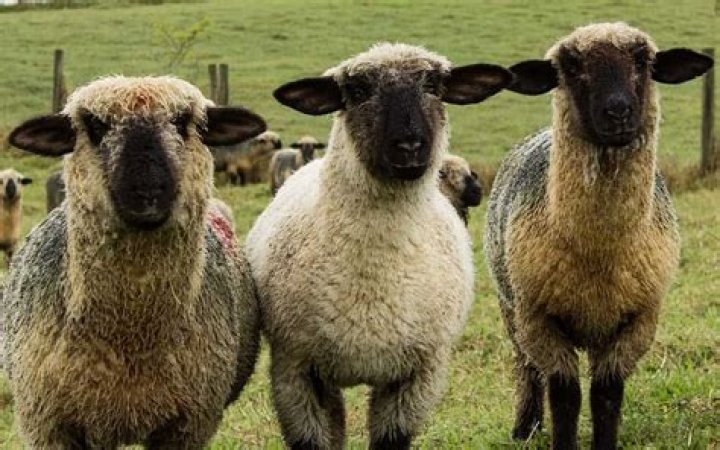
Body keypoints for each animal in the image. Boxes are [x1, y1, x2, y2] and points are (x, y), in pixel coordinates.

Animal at [3, 75, 267, 448]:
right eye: (95, 125)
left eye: (183, 122)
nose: (147, 193)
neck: (130, 337)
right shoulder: (48, 425)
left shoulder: (187, 425)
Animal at [246, 42, 513, 450]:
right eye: (358, 91)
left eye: (434, 85)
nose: (409, 146)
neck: (375, 276)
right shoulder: (294, 369)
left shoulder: (420, 375)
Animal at [484, 23, 713, 449]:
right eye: (572, 67)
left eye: (642, 61)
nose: (619, 111)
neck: (600, 251)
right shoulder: (538, 317)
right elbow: (564, 394)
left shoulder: (639, 319)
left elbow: (606, 393)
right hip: (510, 305)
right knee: (525, 366)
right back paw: (525, 426)